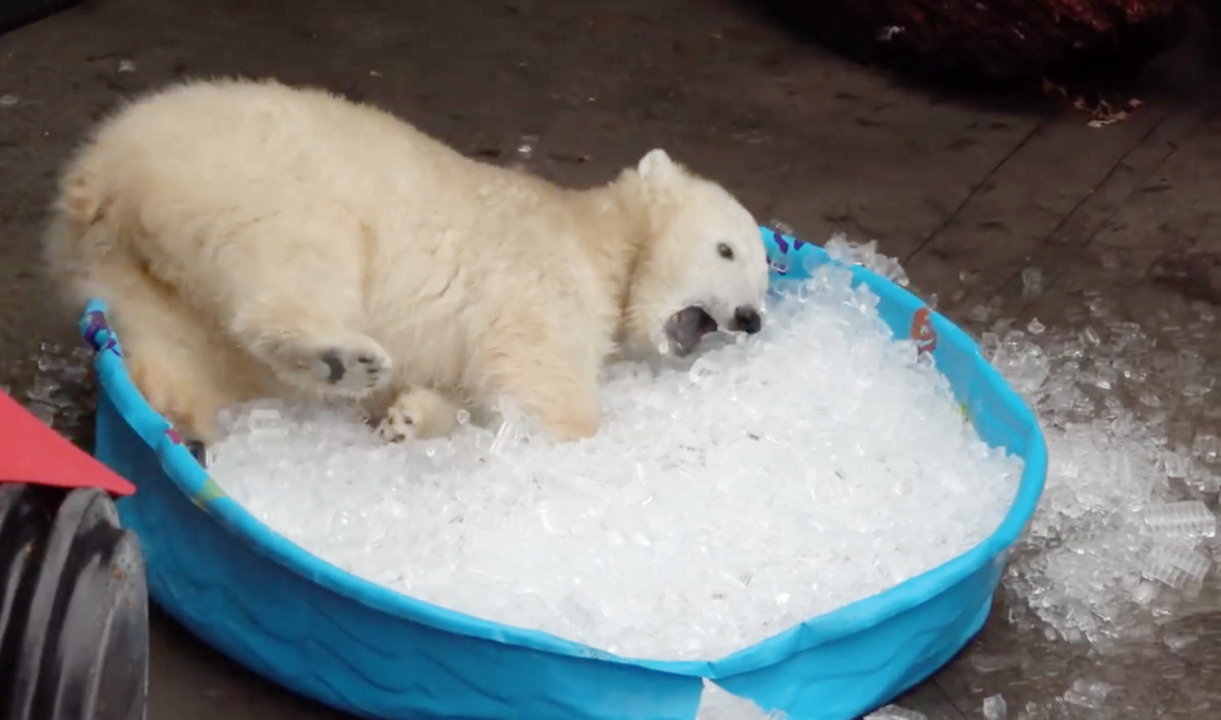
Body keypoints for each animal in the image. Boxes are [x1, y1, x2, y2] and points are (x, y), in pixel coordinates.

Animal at [42, 78, 770, 446]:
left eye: (763, 279)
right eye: (726, 248)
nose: (750, 317)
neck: (602, 239)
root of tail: (107, 167)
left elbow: (468, 392)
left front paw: (410, 417)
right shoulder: (541, 273)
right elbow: (534, 368)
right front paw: (580, 437)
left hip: (120, 261)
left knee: (173, 341)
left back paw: (184, 416)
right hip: (260, 183)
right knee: (300, 262)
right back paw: (340, 357)